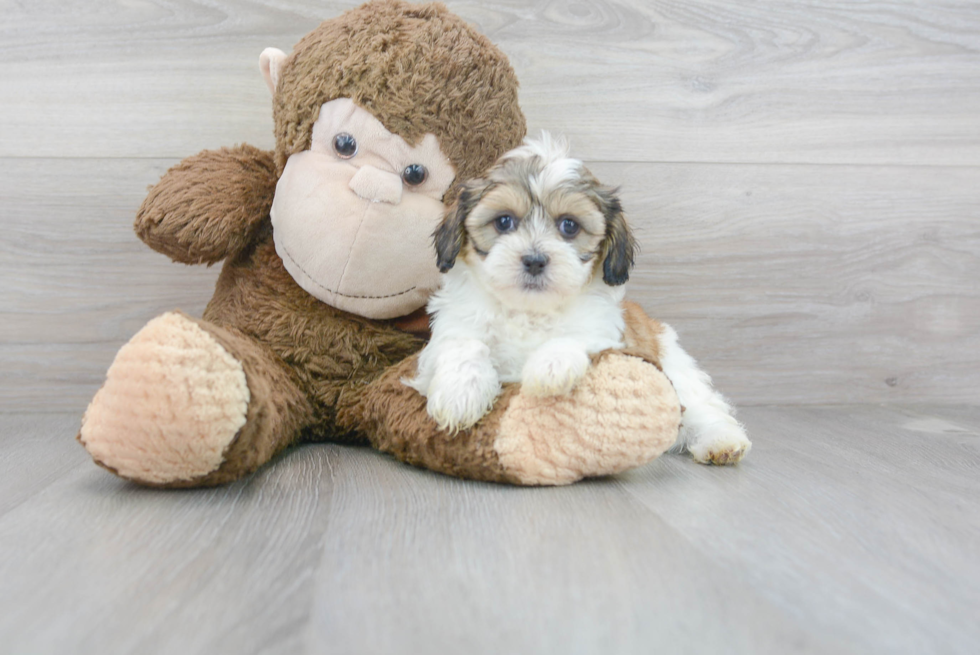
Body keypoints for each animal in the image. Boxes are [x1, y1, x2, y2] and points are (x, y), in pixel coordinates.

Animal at [406, 132, 752, 466]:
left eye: (569, 226)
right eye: (504, 222)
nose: (534, 260)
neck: (530, 310)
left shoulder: (608, 335)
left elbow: (576, 337)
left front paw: (550, 366)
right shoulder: (452, 329)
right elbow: (464, 345)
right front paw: (459, 394)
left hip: (678, 371)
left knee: (702, 409)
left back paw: (721, 441)